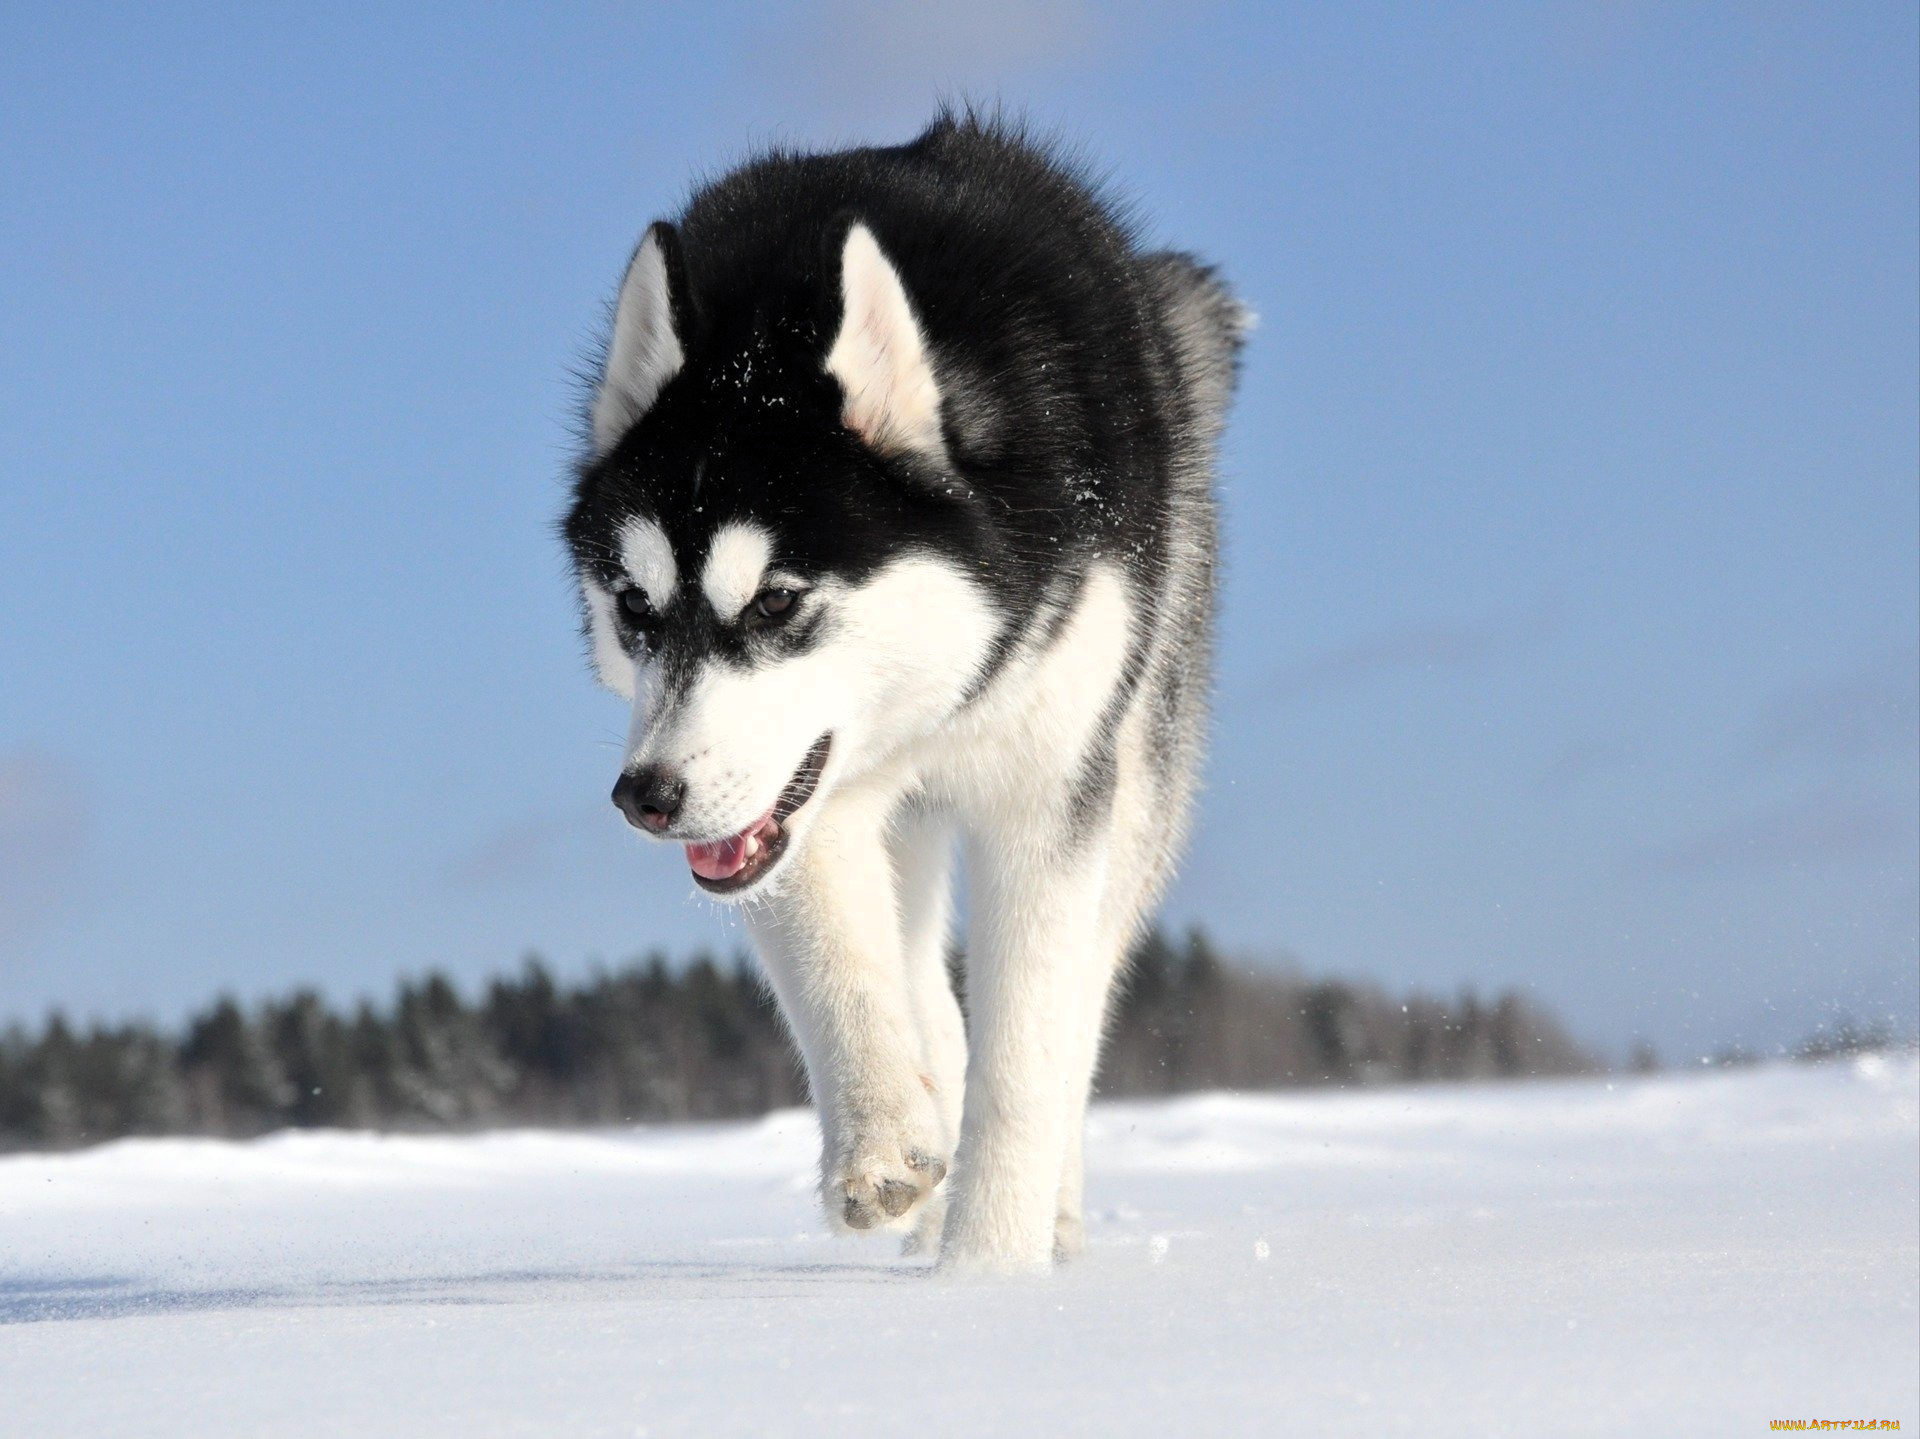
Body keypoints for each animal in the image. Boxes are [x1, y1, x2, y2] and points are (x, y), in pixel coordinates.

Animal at [560, 112, 1244, 1268]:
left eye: (777, 599)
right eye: (634, 607)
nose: (645, 796)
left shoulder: (1049, 791)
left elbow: (1027, 1051)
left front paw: (988, 1269)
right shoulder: (799, 805)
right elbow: (845, 968)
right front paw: (884, 1144)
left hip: (1142, 761)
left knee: (1082, 993)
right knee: (922, 972)